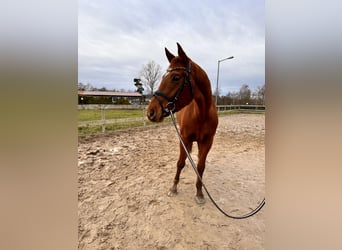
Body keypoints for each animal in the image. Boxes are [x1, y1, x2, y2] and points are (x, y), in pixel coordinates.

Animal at [146, 42, 216, 203]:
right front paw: (173, 188)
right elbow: (180, 163)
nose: (151, 112)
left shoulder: (207, 142)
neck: (201, 114)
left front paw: (199, 192)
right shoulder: (183, 138)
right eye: (163, 76)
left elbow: (201, 166)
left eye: (176, 77)